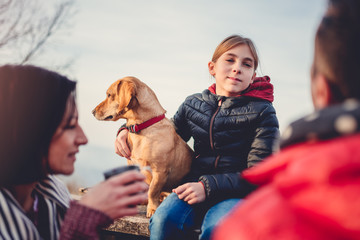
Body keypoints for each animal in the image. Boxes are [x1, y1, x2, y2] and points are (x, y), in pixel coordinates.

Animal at [93, 77, 194, 218]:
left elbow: (152, 191)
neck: (141, 128)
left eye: (109, 95)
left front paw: (152, 209)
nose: (92, 112)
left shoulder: (160, 171)